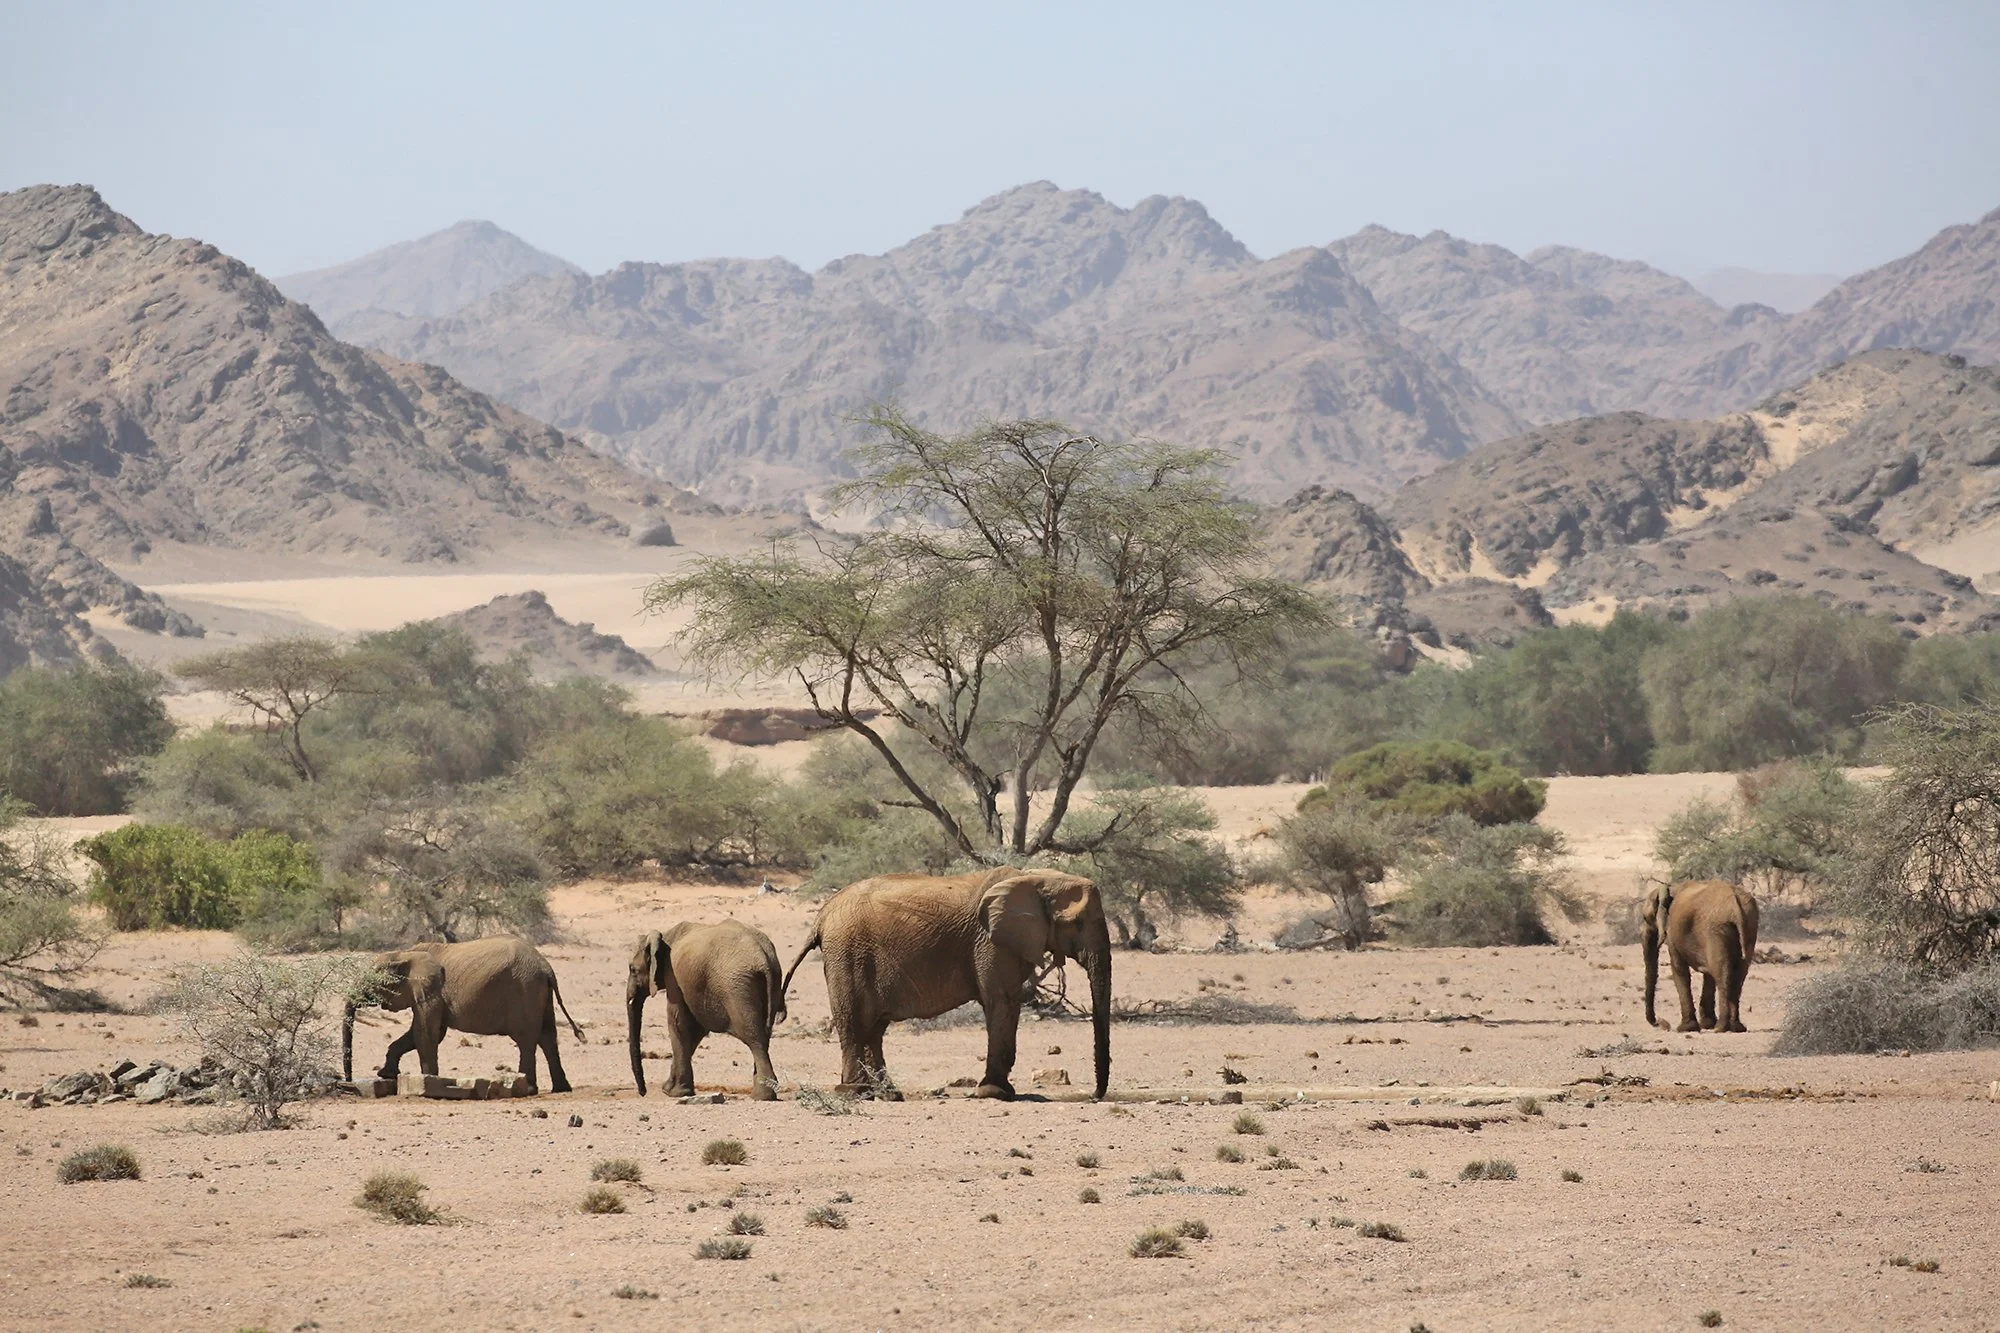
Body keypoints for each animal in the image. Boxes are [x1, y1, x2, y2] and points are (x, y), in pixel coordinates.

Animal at [343, 936, 584, 1092]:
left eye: (371, 981)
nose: (349, 1081)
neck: (405, 953)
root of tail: (546, 967)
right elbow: (422, 1033)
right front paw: (386, 1075)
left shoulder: (432, 992)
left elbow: (426, 1033)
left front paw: (429, 1081)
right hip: (539, 994)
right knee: (548, 1037)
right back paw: (561, 1089)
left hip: (526, 990)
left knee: (527, 1040)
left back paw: (529, 1088)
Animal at [626, 920, 787, 1100]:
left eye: (633, 969)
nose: (643, 1092)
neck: (666, 936)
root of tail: (764, 958)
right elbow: (695, 1030)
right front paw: (669, 1088)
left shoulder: (674, 977)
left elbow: (678, 1022)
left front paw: (675, 1093)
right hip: (772, 984)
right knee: (764, 1036)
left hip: (737, 988)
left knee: (754, 1038)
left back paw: (761, 1096)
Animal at [781, 867, 1112, 1101]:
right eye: (1078, 924)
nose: (1094, 1097)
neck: (1036, 879)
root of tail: (822, 915)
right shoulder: (991, 943)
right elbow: (1002, 1001)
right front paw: (996, 1094)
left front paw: (997, 1091)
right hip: (847, 953)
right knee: (854, 1024)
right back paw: (854, 1093)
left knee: (874, 1029)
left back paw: (888, 1094)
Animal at [1643, 879, 1760, 1033]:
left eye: (1645, 918)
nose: (1661, 1023)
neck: (1671, 887)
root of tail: (1735, 905)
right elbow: (1707, 975)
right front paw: (1706, 1024)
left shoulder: (1672, 932)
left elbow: (1679, 970)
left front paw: (1686, 1028)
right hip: (1748, 926)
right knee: (1739, 974)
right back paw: (1736, 1027)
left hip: (1716, 929)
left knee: (1722, 974)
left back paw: (1720, 1028)